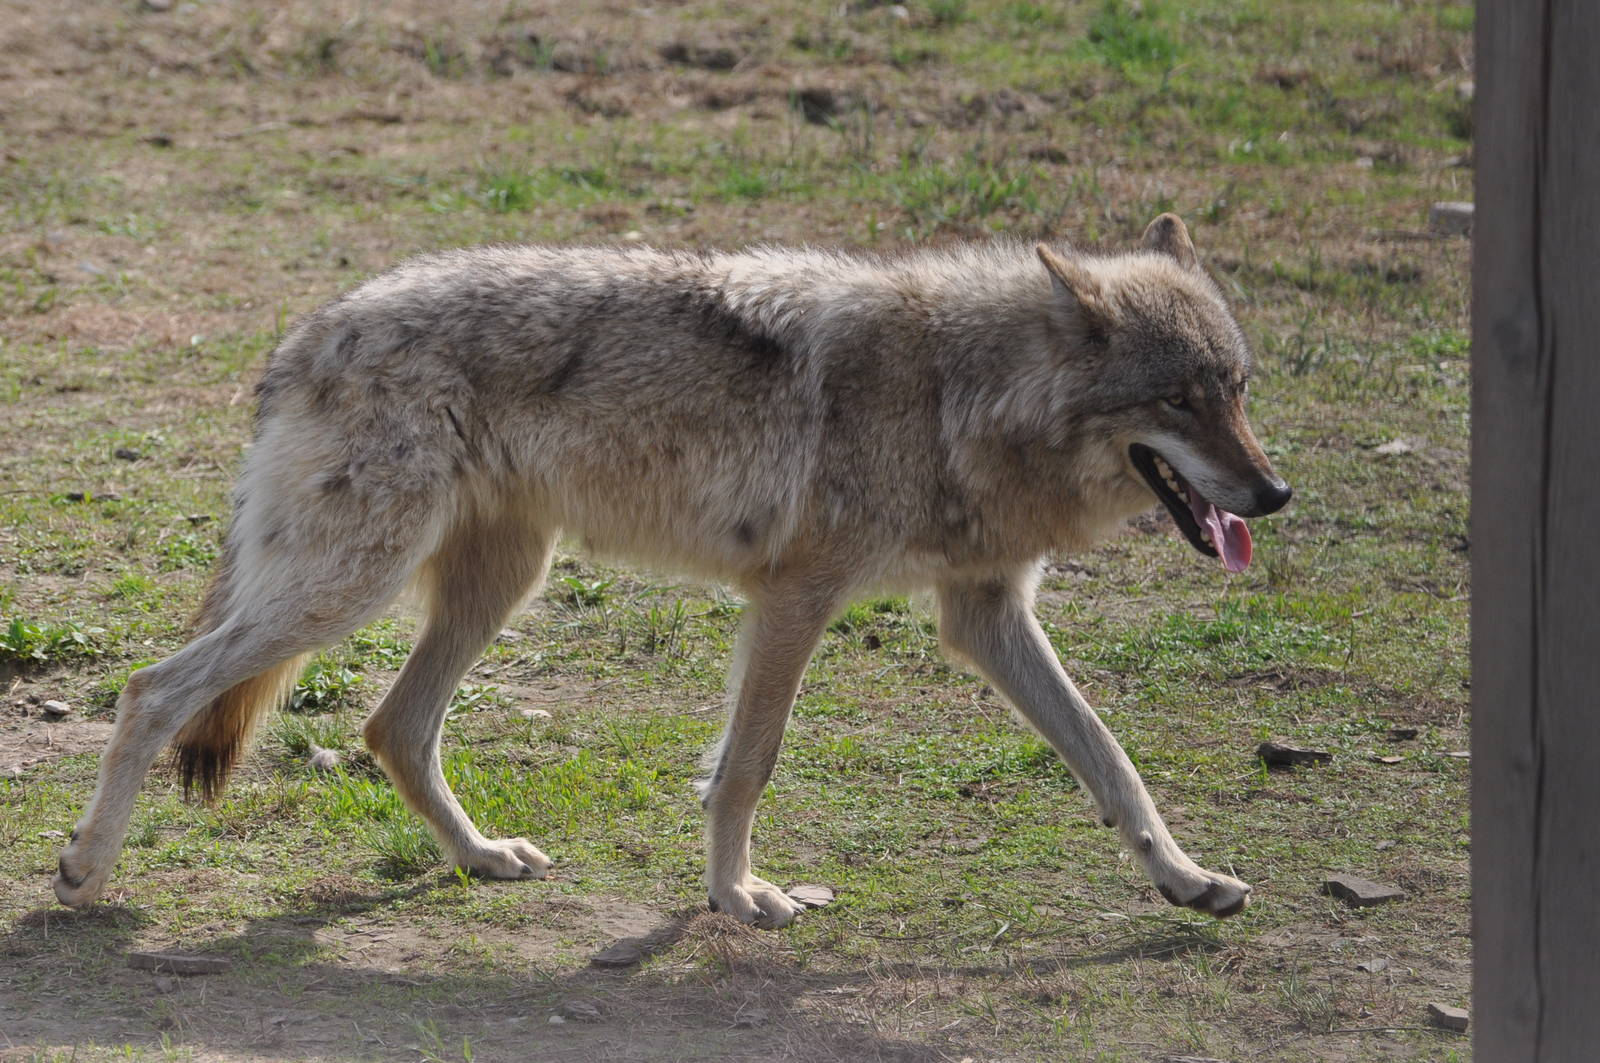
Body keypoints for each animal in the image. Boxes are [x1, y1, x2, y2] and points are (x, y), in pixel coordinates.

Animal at [54, 213, 1289, 926]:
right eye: (1178, 399)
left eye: (1235, 387)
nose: (1275, 494)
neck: (958, 393)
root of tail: (304, 336)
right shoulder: (796, 597)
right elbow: (745, 768)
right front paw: (737, 895)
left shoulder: (982, 613)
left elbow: (1110, 758)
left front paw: (1185, 880)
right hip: (346, 587)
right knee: (153, 688)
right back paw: (84, 874)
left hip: (493, 583)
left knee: (392, 727)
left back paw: (482, 857)